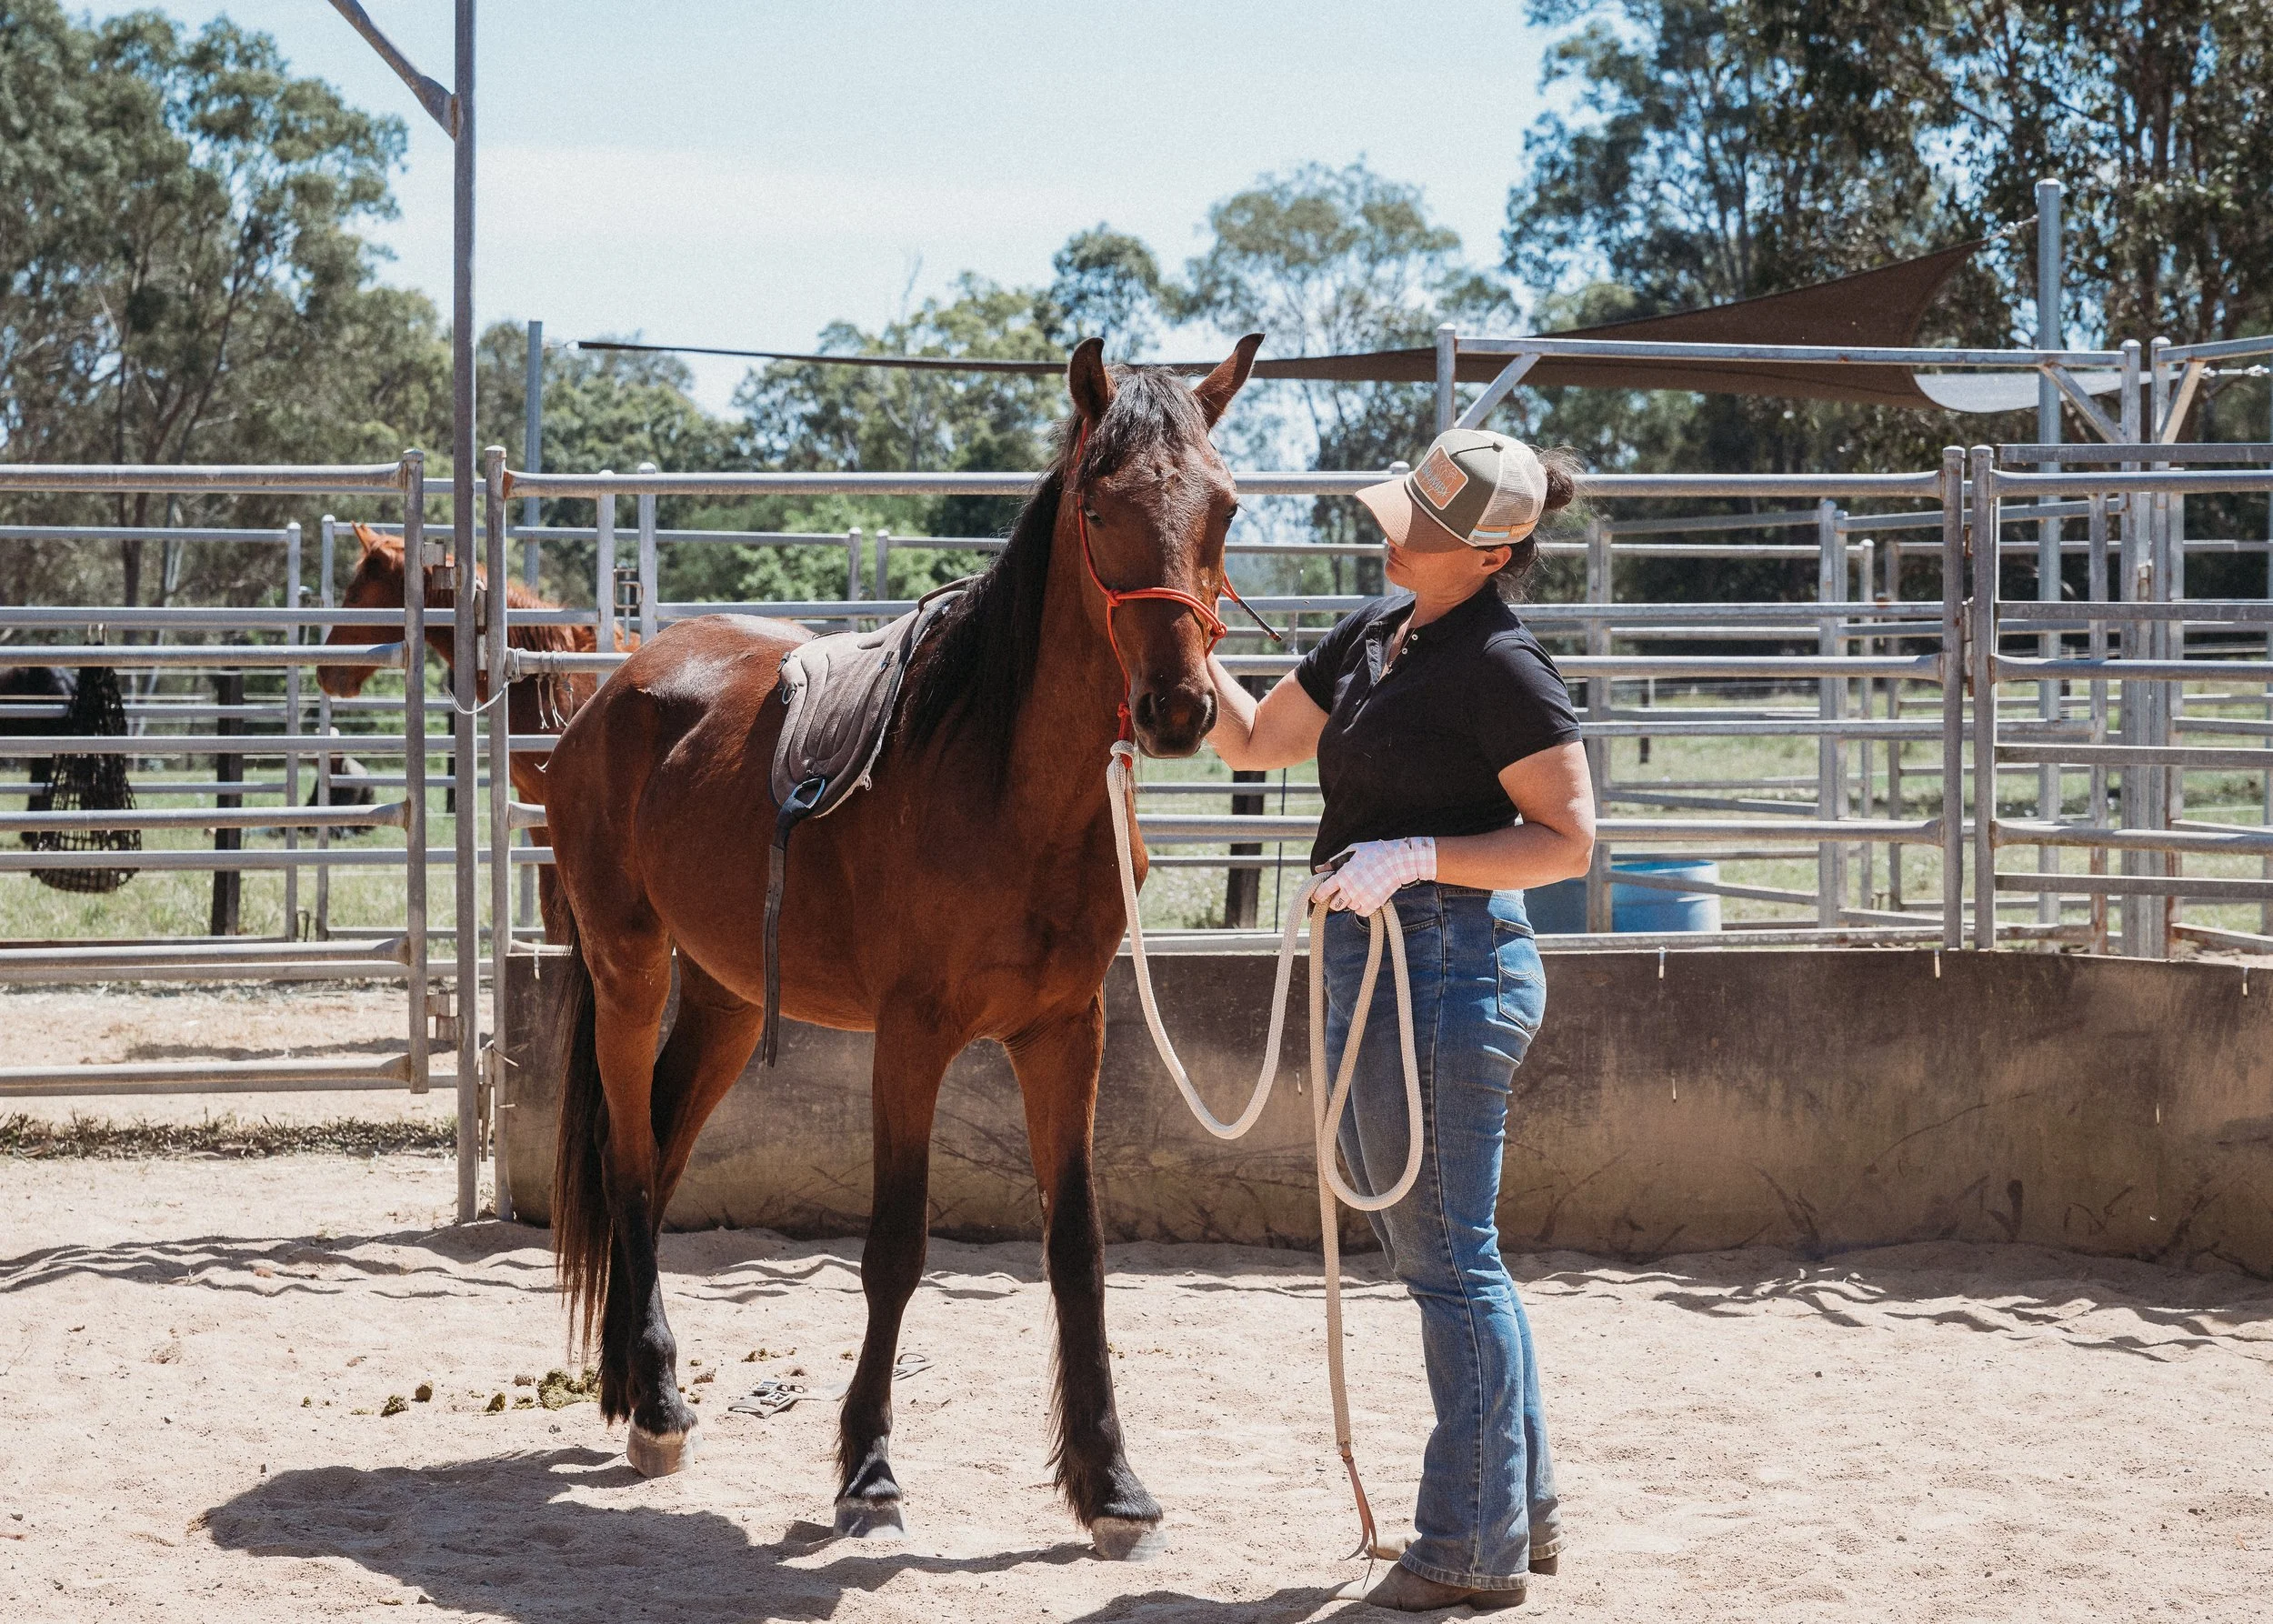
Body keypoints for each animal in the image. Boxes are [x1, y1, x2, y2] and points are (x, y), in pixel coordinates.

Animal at [540, 334, 1263, 1556]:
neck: (1007, 786)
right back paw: (655, 1407)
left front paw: (1110, 1481)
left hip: (729, 1001)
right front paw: (868, 1470)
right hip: (628, 971)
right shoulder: (911, 1036)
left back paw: (636, 1386)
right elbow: (894, 1250)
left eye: (1221, 507)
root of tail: (618, 690)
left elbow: (1077, 1251)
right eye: (1100, 504)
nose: (1177, 706)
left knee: (659, 1152)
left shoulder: (1067, 1031)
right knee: (630, 1163)